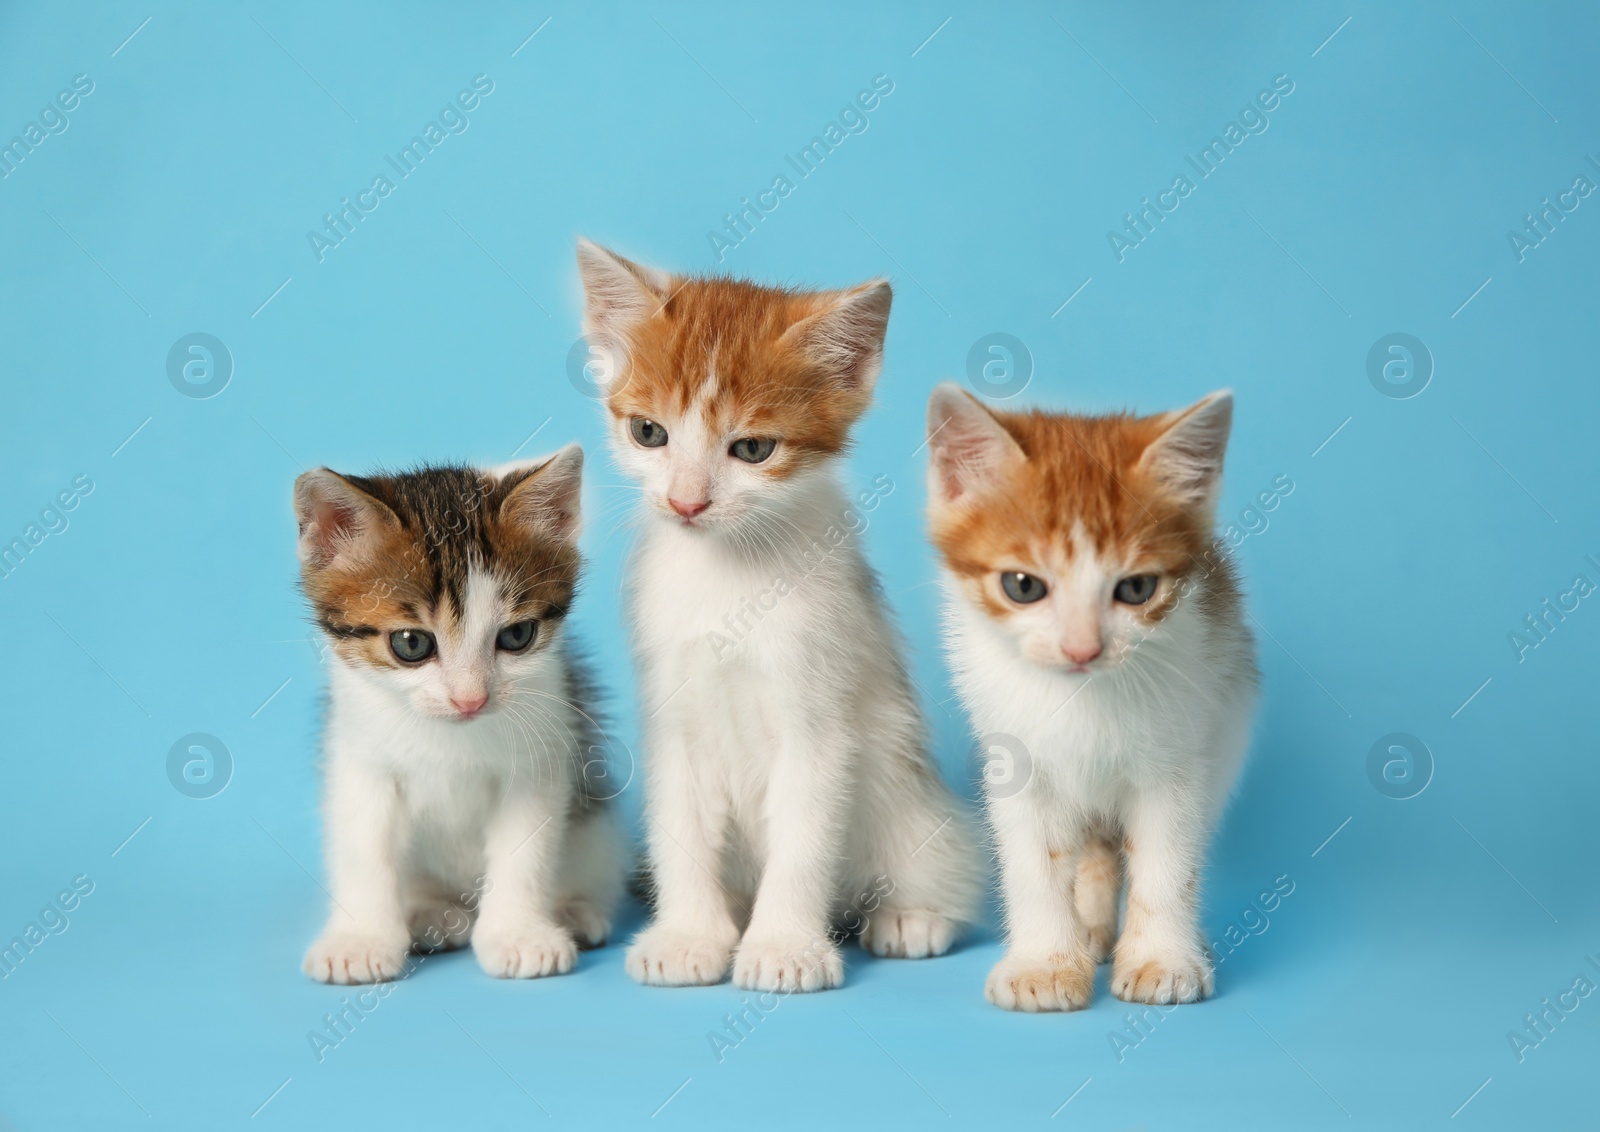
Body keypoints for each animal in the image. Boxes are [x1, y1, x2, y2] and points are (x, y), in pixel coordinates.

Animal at [297, 447, 620, 984]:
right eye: (411, 644)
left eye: (517, 636)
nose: (470, 700)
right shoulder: (360, 757)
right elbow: (364, 846)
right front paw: (360, 940)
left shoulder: (541, 757)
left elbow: (524, 849)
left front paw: (518, 935)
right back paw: (432, 913)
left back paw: (573, 910)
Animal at [576, 236, 972, 991]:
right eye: (649, 432)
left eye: (753, 449)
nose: (687, 501)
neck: (728, 577)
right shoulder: (674, 714)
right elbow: (682, 825)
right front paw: (690, 936)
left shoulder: (819, 720)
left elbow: (803, 838)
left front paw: (785, 946)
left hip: (914, 805)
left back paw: (910, 915)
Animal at [928, 385, 1260, 1010]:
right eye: (1023, 585)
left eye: (1137, 588)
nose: (1082, 647)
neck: (1078, 699)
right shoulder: (1017, 761)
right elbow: (1034, 865)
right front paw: (1044, 962)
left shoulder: (1178, 760)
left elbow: (1167, 861)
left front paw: (1161, 958)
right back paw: (1087, 932)